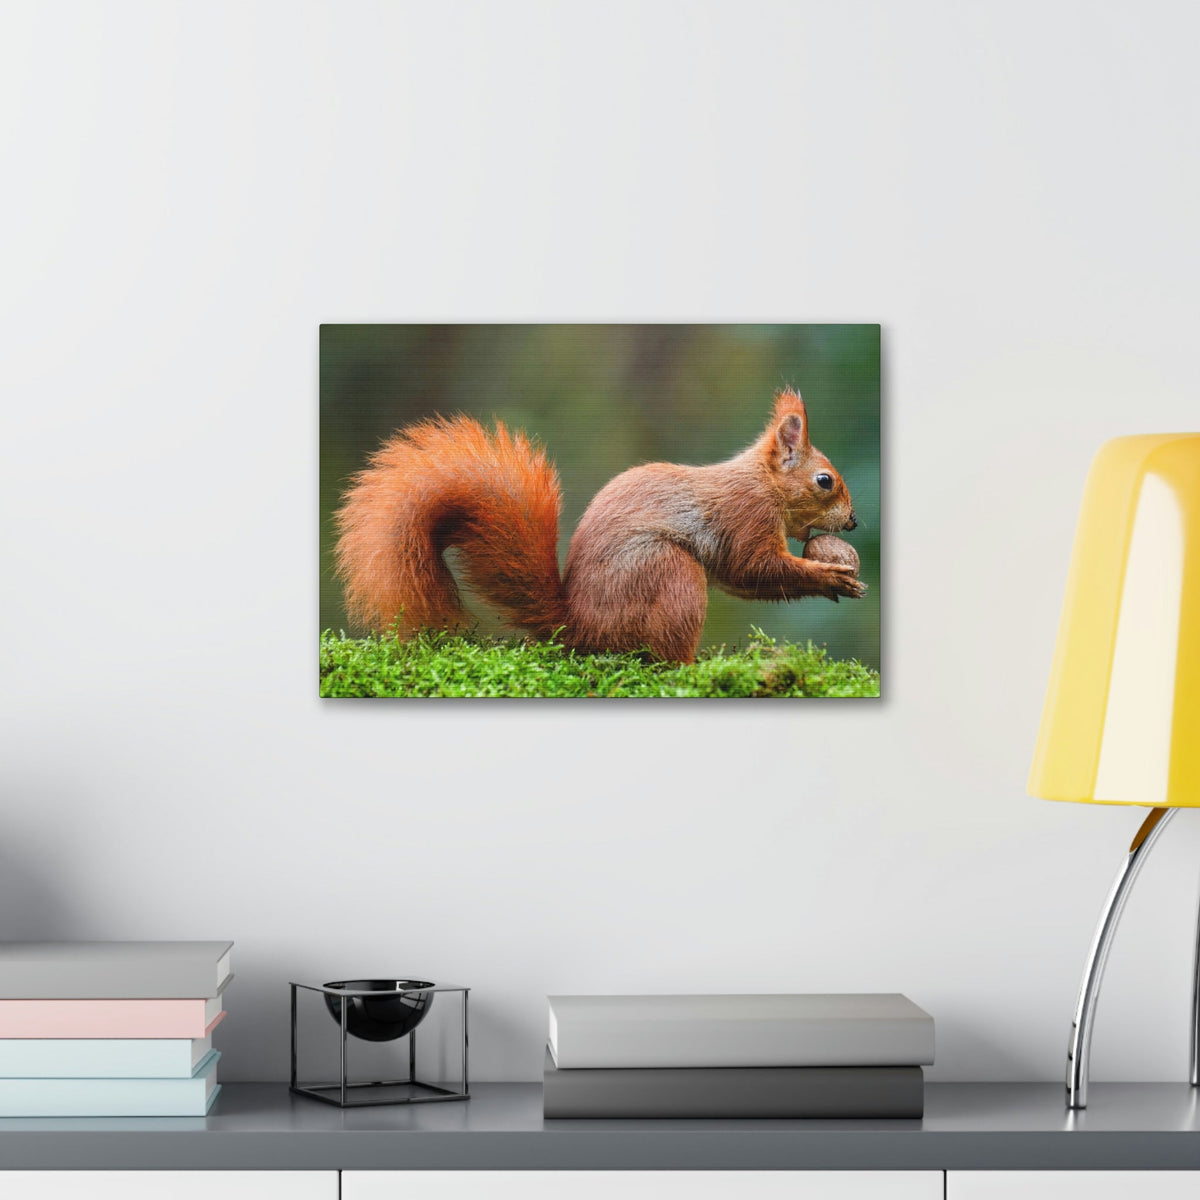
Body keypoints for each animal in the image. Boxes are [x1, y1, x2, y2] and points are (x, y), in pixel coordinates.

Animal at [333, 388, 865, 664]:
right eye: (824, 481)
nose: (855, 521)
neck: (762, 483)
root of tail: (578, 626)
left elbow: (746, 579)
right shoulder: (745, 516)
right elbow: (752, 568)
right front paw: (830, 577)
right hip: (668, 573)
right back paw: (690, 667)